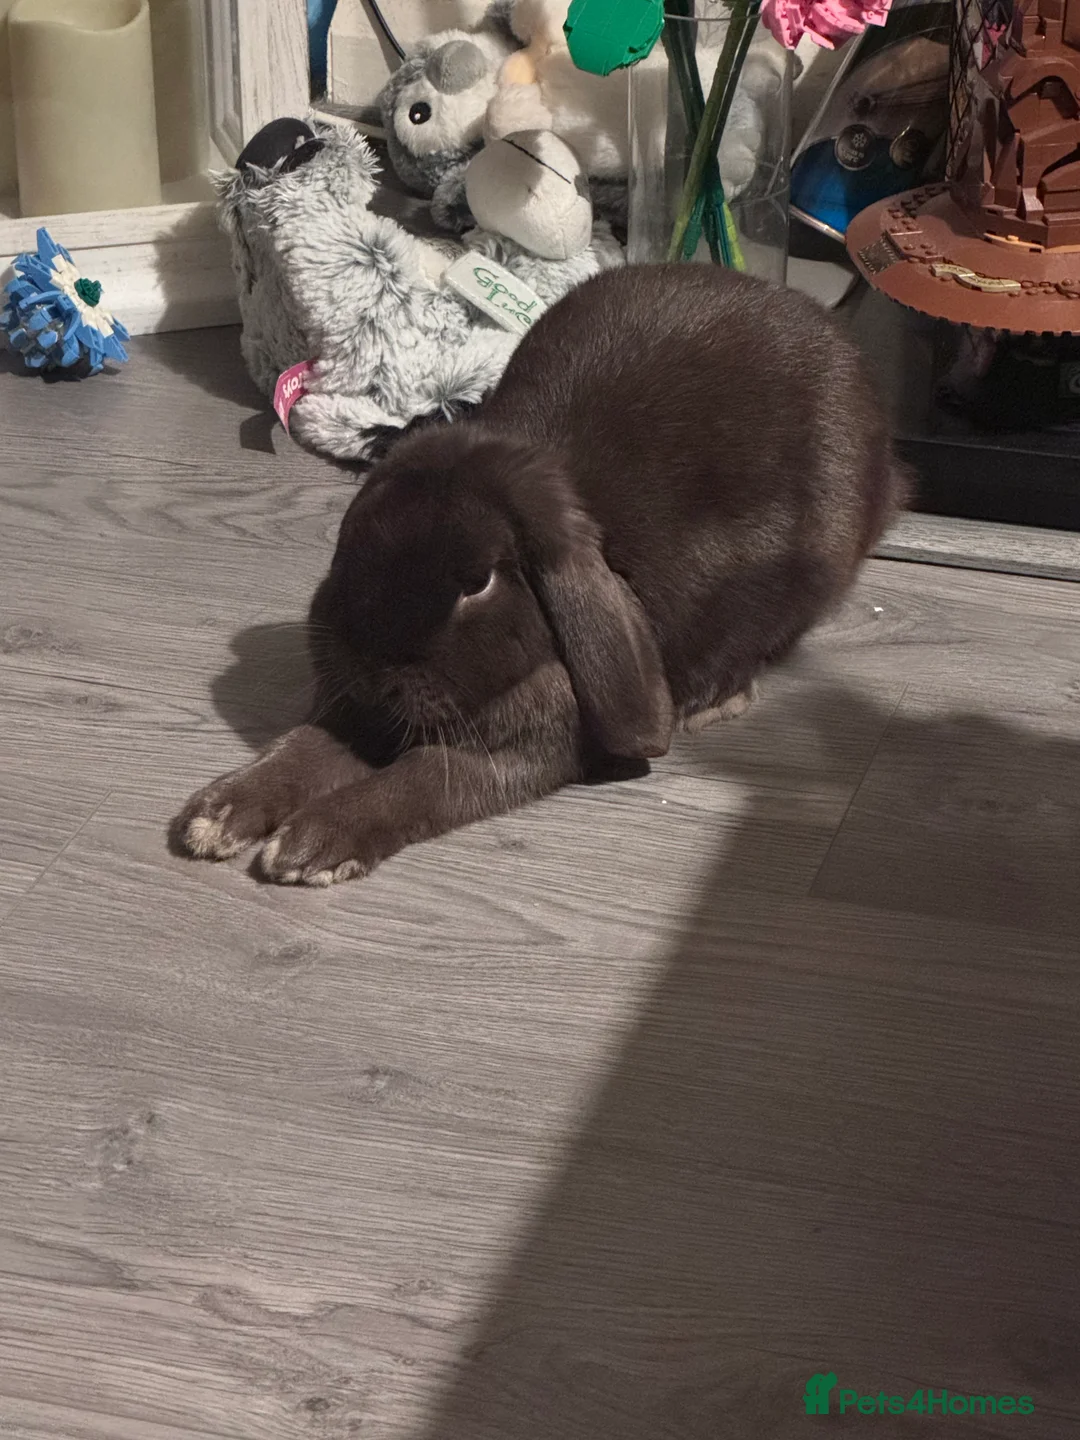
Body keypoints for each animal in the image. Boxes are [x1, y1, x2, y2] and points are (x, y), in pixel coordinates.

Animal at [174, 263, 908, 886]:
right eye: (353, 537)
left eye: (478, 583)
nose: (374, 666)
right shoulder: (357, 710)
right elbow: (304, 745)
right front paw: (219, 813)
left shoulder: (523, 750)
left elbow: (422, 777)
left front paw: (315, 844)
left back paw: (716, 696)